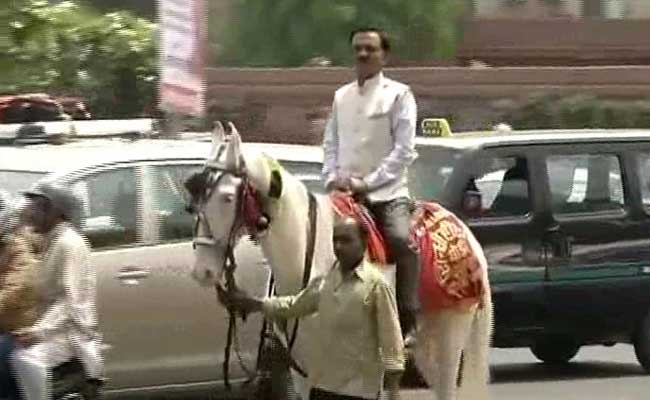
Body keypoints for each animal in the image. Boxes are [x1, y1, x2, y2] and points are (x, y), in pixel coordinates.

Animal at [186, 122, 492, 400]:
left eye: (227, 197)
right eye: (196, 199)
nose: (202, 271)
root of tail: (465, 234)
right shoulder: (301, 371)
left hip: (448, 341)